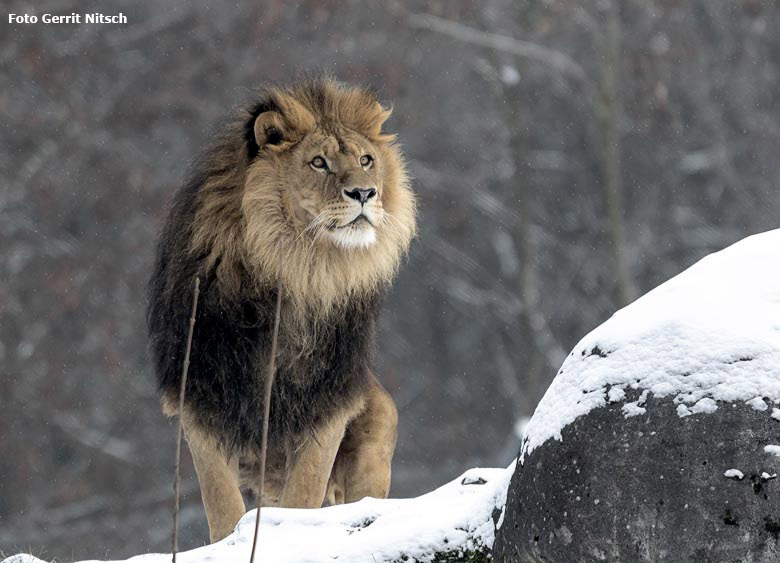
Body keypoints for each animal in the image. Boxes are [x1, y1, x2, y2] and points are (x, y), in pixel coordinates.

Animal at [145, 76, 414, 540]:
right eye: (319, 163)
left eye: (366, 160)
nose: (365, 192)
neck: (300, 269)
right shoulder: (201, 397)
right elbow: (222, 503)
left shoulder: (326, 400)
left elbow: (304, 493)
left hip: (376, 430)